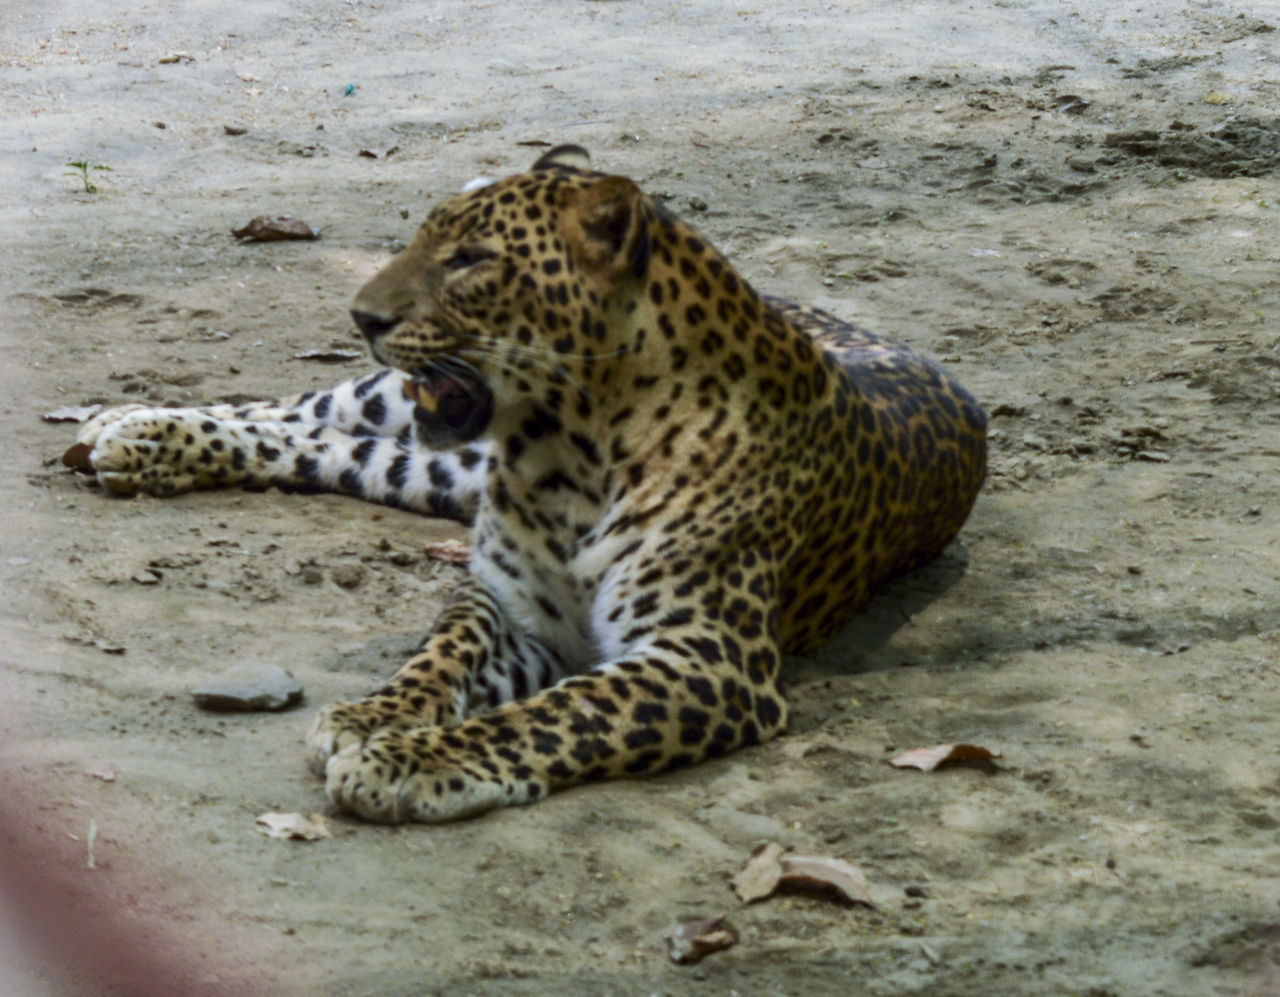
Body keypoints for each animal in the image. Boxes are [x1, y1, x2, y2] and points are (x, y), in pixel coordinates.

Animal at [67, 143, 988, 824]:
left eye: (473, 259)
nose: (362, 318)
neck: (568, 451)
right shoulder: (504, 602)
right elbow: (438, 657)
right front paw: (373, 715)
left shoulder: (708, 659)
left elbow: (558, 712)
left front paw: (406, 758)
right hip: (389, 404)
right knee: (300, 408)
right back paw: (128, 426)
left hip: (430, 467)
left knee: (328, 446)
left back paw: (130, 439)